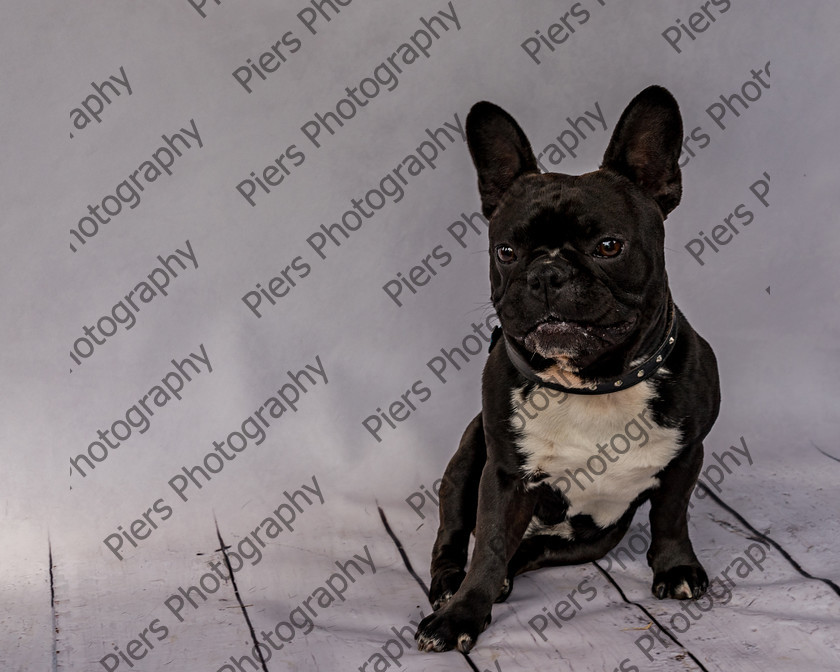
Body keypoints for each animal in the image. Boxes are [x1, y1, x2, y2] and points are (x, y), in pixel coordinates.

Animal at [416, 85, 720, 652]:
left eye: (609, 246)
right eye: (505, 251)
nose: (546, 273)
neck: (592, 384)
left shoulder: (687, 454)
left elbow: (672, 515)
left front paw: (675, 568)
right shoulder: (504, 476)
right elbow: (488, 545)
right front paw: (462, 613)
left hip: (593, 540)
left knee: (530, 552)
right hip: (466, 458)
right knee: (455, 535)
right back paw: (450, 586)